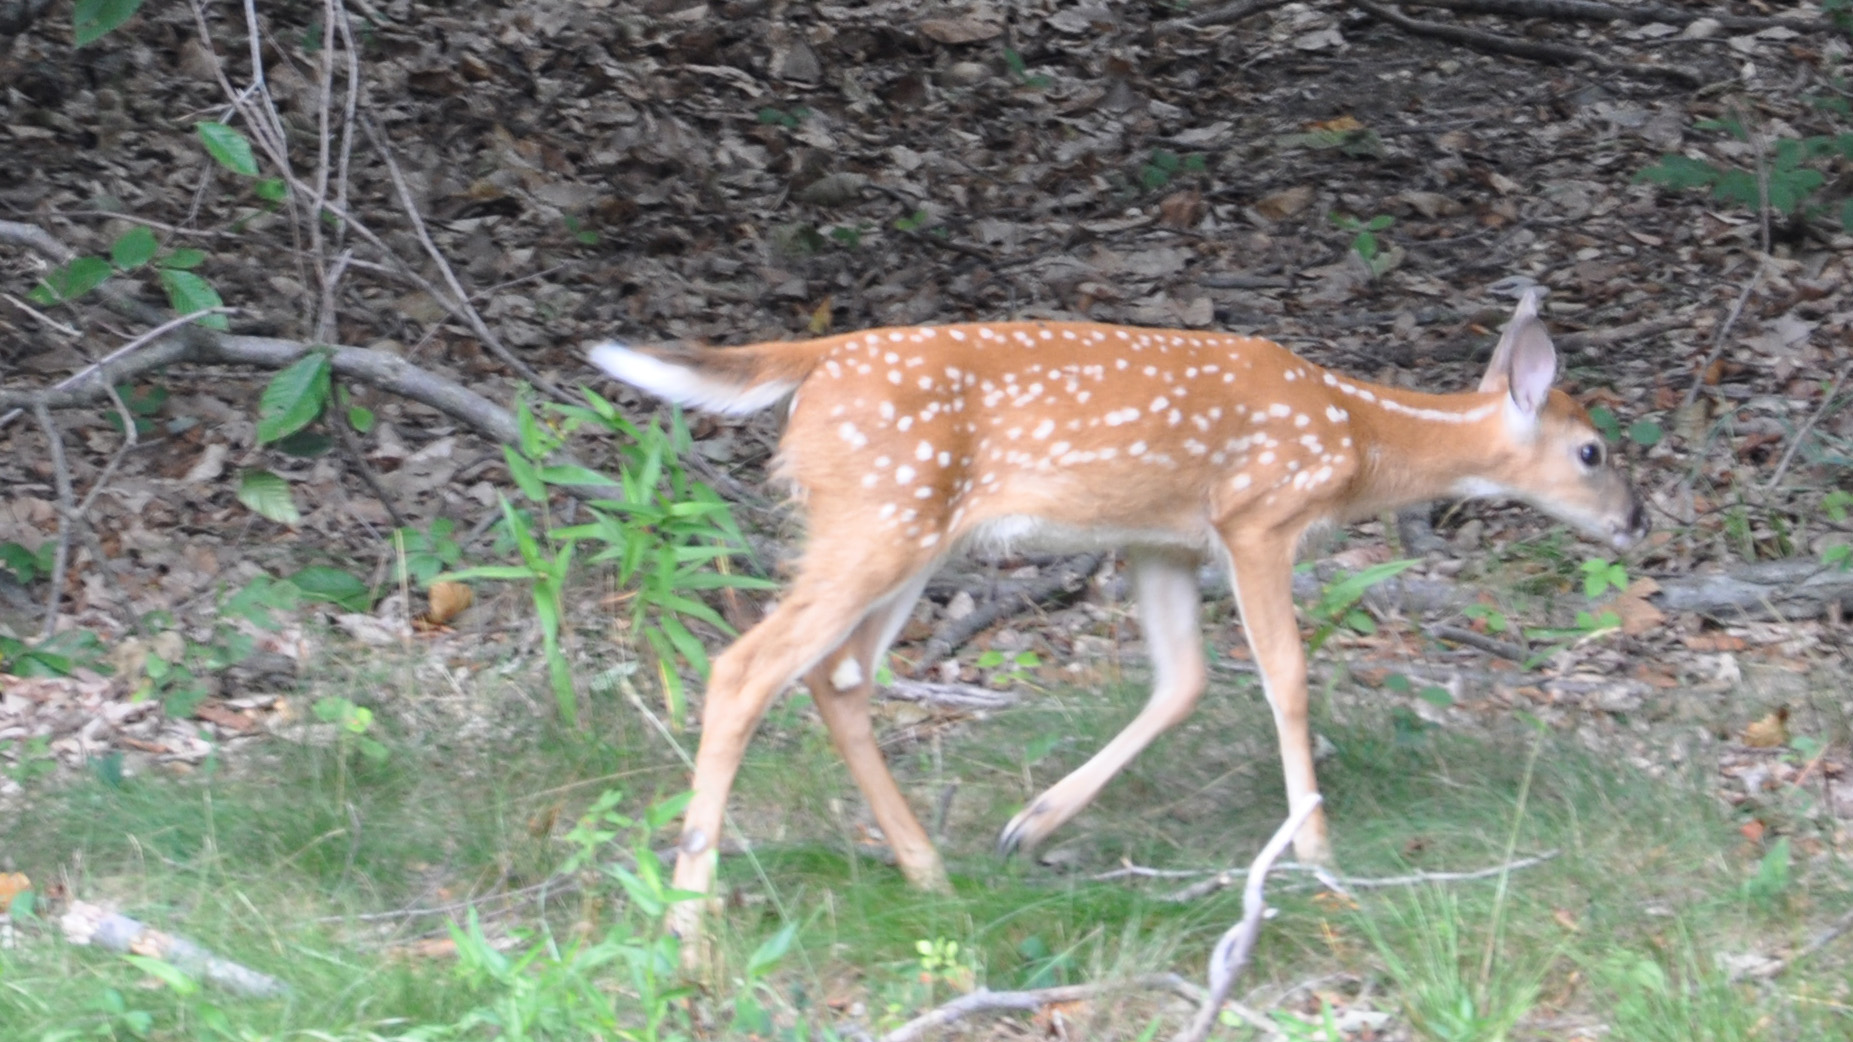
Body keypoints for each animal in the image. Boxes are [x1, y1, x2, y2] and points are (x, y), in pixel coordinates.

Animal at [589, 288, 1647, 954]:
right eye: (1591, 451)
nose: (1636, 521)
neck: (1356, 437)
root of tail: (814, 362)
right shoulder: (1257, 515)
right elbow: (1286, 678)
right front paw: (1315, 851)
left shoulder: (1160, 540)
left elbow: (1182, 681)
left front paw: (1030, 824)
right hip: (880, 515)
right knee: (747, 668)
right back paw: (687, 928)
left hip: (903, 532)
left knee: (836, 674)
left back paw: (930, 874)